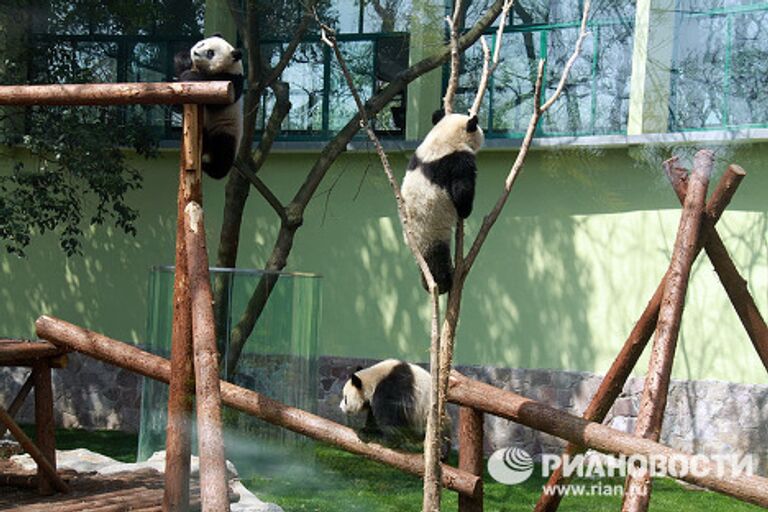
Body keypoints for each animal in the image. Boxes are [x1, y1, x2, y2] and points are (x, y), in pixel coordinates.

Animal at [174, 35, 243, 179]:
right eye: (202, 44)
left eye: (210, 53)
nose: (195, 53)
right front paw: (185, 60)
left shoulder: (233, 82)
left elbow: (217, 100)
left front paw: (190, 76)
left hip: (227, 130)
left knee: (223, 155)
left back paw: (210, 168)